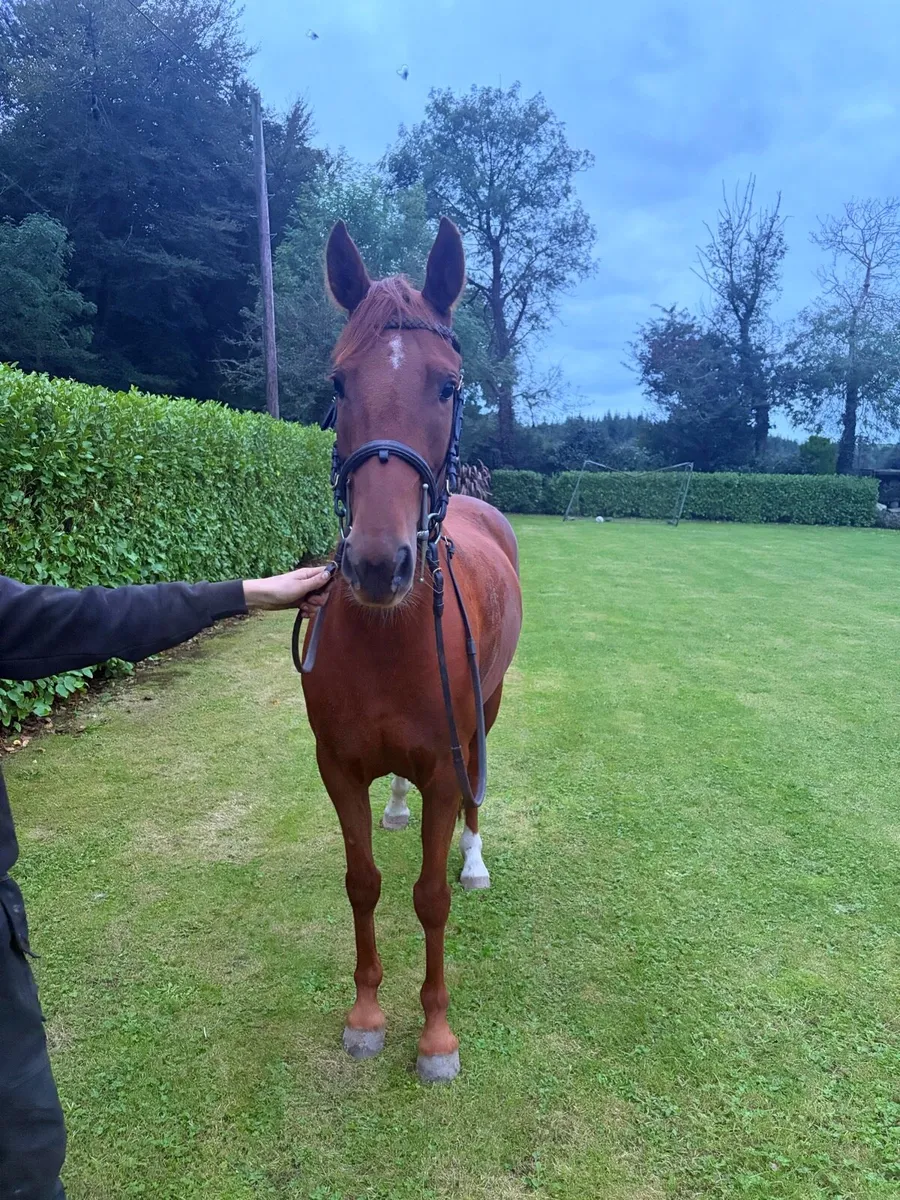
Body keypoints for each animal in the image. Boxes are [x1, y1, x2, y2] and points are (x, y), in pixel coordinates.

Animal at [300, 217, 523, 1083]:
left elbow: (430, 896)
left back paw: (477, 857)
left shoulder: (443, 767)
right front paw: (365, 1015)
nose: (376, 563)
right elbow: (362, 883)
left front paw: (435, 1035)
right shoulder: (338, 767)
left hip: (487, 713)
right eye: (337, 383)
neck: (389, 638)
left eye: (449, 386)